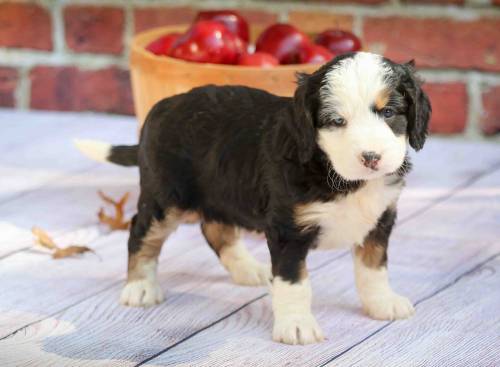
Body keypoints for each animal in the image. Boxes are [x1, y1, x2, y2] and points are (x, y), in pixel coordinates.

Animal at [76, 51, 432, 344]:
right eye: (336, 121)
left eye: (389, 112)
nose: (371, 157)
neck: (340, 177)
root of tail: (162, 107)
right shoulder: (288, 230)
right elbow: (294, 282)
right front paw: (297, 325)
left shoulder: (380, 219)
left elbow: (374, 268)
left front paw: (382, 302)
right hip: (166, 197)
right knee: (141, 233)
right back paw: (140, 287)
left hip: (219, 191)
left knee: (215, 229)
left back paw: (249, 270)